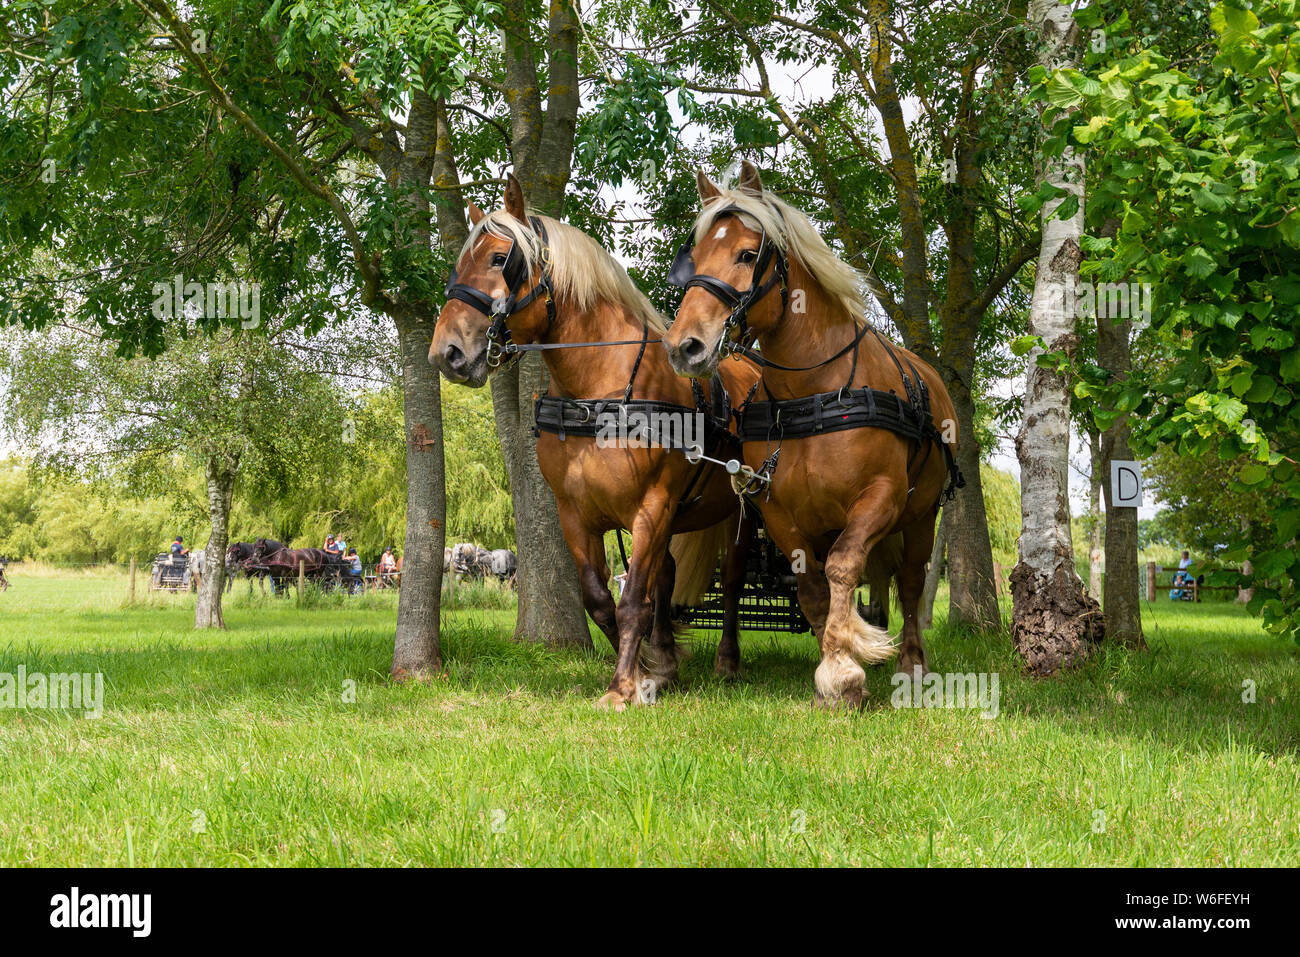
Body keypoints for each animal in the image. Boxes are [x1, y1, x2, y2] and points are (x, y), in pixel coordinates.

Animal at [434, 174, 759, 712]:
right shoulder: (575, 513)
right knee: (667, 576)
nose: (447, 352)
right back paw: (666, 661)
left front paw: (622, 686)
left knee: (732, 580)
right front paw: (646, 670)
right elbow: (602, 599)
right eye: (460, 263)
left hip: (743, 508)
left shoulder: (652, 506)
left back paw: (729, 662)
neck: (597, 392)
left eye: (500, 259)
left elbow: (633, 602)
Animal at [665, 160, 961, 707]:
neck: (813, 392)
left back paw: (911, 662)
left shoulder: (880, 499)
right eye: (694, 256)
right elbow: (810, 588)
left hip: (921, 514)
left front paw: (845, 669)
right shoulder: (779, 511)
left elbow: (844, 568)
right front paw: (834, 658)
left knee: (911, 582)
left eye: (746, 254)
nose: (684, 346)